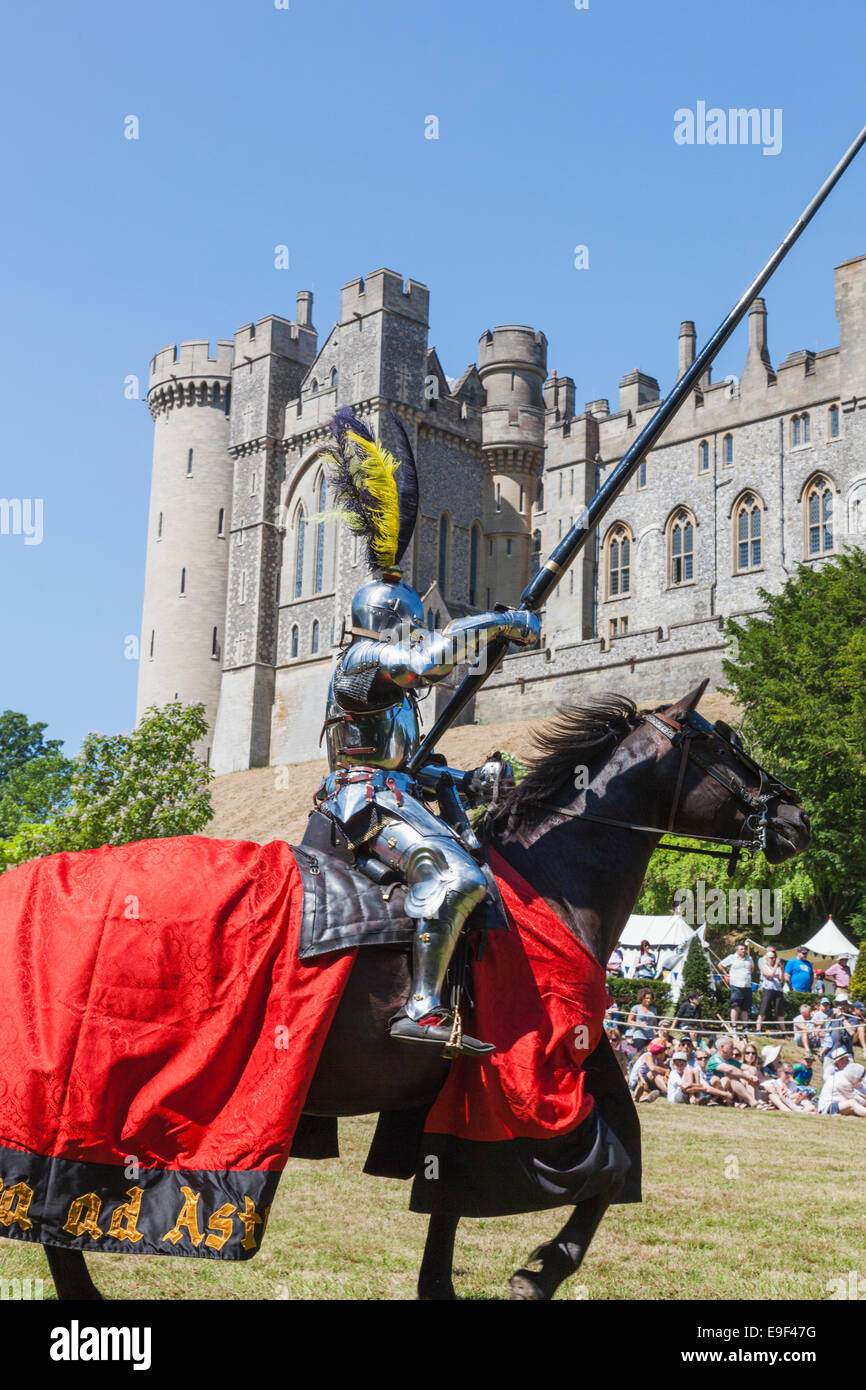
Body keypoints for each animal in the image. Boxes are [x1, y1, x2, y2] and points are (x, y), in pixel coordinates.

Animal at [38, 678, 811, 1295]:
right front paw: (538, 1273)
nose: (795, 817)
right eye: (724, 743)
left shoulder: (501, 1085)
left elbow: (470, 1193)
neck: (555, 886)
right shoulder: (535, 1080)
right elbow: (607, 1167)